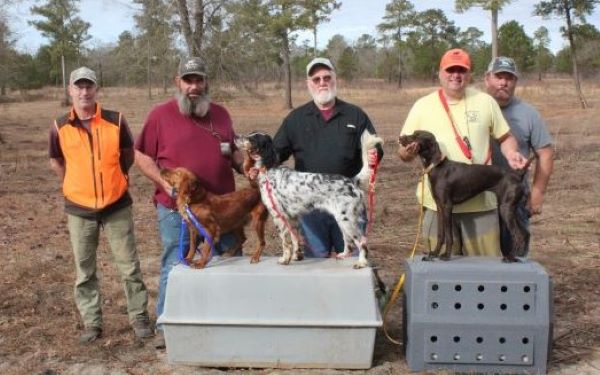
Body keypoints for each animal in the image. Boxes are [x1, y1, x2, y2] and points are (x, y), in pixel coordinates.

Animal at [236, 131, 382, 268]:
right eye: (250, 134)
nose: (236, 137)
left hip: (347, 220)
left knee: (362, 241)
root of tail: (352, 181)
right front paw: (296, 256)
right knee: (349, 243)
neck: (269, 170)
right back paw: (343, 255)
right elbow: (295, 239)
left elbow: (285, 242)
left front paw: (284, 259)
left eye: (253, 138)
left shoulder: (278, 216)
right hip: (342, 220)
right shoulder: (292, 218)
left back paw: (361, 262)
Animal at [398, 131, 536, 262]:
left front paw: (446, 255)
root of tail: (518, 174)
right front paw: (434, 254)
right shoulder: (439, 207)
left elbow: (449, 235)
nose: (400, 138)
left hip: (505, 208)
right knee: (525, 233)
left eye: (417, 136)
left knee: (518, 234)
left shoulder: (447, 206)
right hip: (510, 208)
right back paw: (516, 256)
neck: (438, 167)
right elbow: (440, 234)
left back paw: (510, 257)